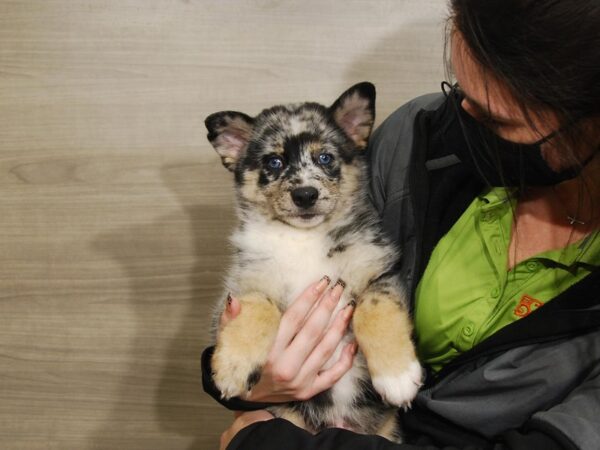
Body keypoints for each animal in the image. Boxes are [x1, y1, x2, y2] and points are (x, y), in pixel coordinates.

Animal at [206, 82, 422, 442]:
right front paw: (233, 367)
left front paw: (398, 376)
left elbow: (375, 311)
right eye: (274, 162)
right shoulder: (244, 283)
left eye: (325, 158)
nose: (305, 195)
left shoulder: (382, 272)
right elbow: (256, 309)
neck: (304, 238)